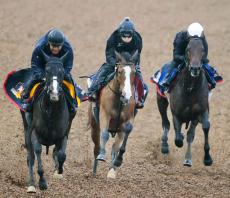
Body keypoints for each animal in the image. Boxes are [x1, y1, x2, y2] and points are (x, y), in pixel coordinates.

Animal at [21, 51, 73, 193]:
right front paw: (42, 182)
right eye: (47, 70)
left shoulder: (63, 134)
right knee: (30, 158)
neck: (52, 111)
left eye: (62, 72)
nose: (54, 93)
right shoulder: (34, 132)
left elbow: (61, 155)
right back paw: (32, 185)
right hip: (26, 130)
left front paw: (59, 171)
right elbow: (38, 151)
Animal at [88, 50, 138, 179]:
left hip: (118, 131)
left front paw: (118, 161)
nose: (127, 95)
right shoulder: (104, 115)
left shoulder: (128, 119)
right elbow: (105, 134)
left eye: (134, 72)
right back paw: (94, 170)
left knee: (115, 147)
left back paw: (112, 170)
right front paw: (102, 156)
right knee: (97, 146)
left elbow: (127, 131)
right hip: (94, 126)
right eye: (120, 71)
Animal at [157, 37, 213, 167]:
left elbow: (204, 127)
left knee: (189, 134)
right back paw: (165, 146)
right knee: (165, 123)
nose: (195, 68)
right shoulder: (176, 114)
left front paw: (207, 158)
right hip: (161, 101)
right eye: (188, 49)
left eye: (203, 50)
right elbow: (177, 139)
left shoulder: (201, 111)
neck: (190, 88)